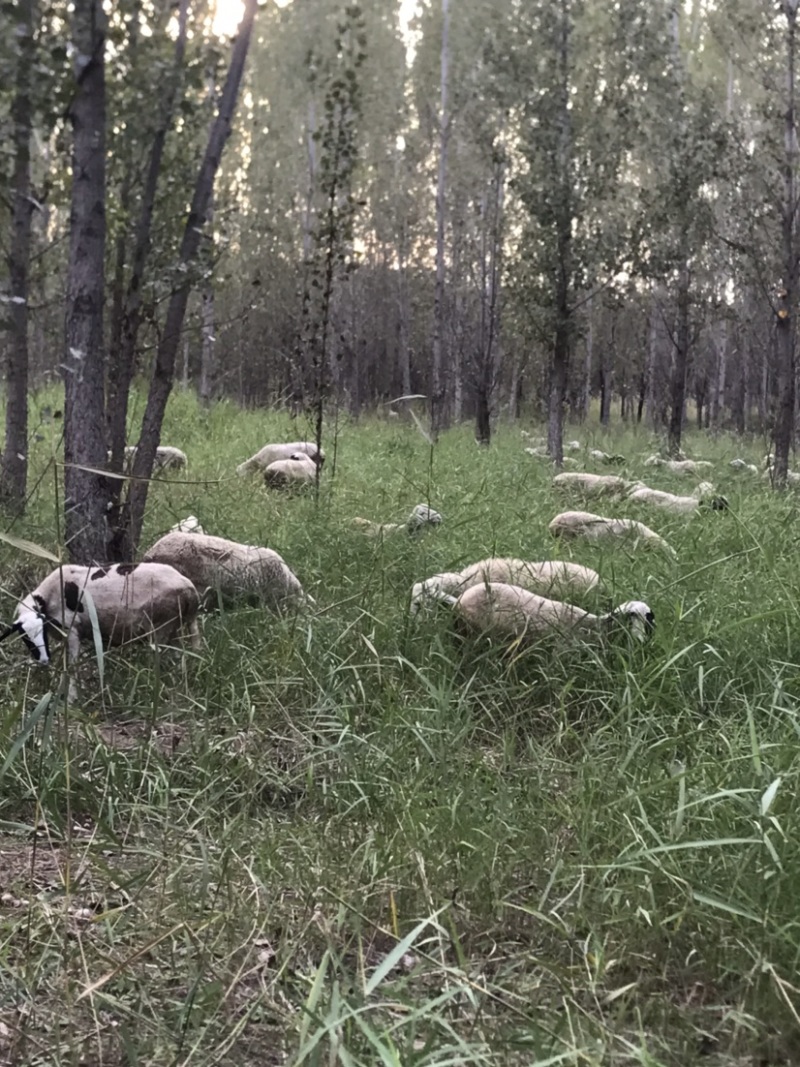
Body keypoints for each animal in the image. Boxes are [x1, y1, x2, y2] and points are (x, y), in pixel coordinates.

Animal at [0, 559, 200, 699]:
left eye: (41, 630)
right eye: (25, 637)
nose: (43, 660)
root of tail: (188, 586)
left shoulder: (72, 631)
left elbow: (71, 666)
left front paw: (70, 698)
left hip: (160, 628)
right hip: (177, 626)